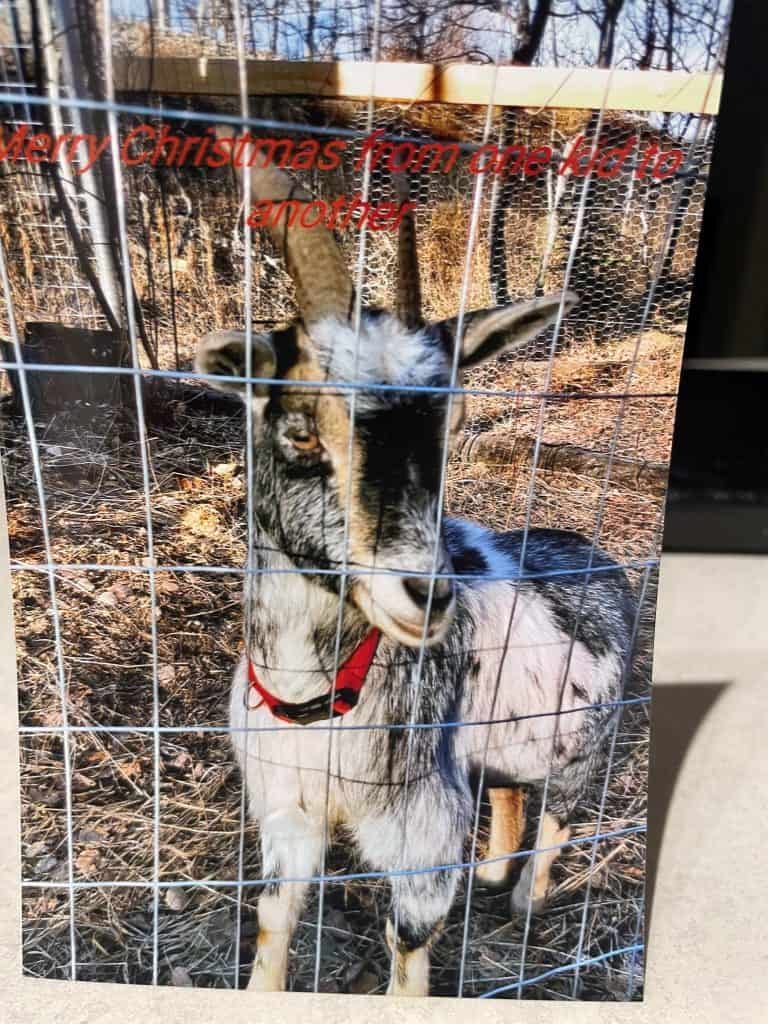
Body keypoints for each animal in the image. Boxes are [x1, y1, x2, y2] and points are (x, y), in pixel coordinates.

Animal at [195, 141, 637, 996]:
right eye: (303, 428)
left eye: (450, 428)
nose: (430, 592)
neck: (316, 697)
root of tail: (600, 557)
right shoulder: (287, 809)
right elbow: (273, 919)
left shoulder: (421, 827)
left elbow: (409, 941)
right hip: (498, 746)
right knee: (509, 794)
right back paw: (496, 873)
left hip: (583, 748)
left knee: (559, 811)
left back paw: (526, 900)